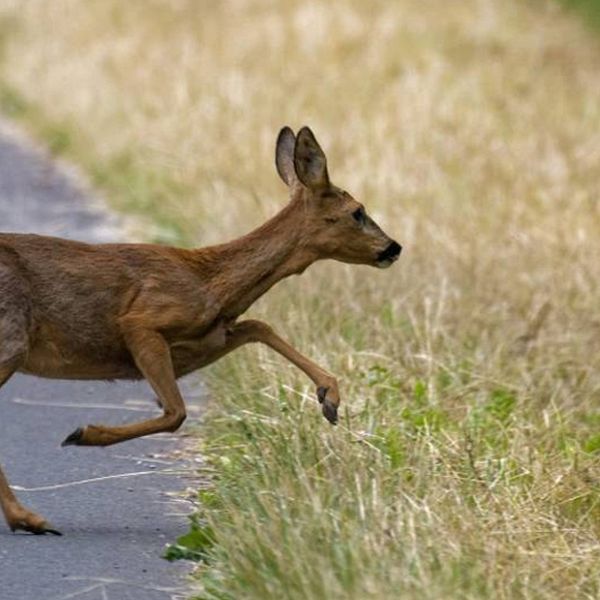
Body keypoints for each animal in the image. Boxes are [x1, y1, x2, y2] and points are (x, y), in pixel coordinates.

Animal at [1, 126, 404, 536]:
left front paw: (329, 397)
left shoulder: (209, 338)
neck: (210, 281)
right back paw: (29, 517)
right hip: (11, 339)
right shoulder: (141, 321)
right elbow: (176, 412)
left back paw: (25, 518)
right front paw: (83, 434)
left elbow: (258, 326)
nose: (393, 247)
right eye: (357, 211)